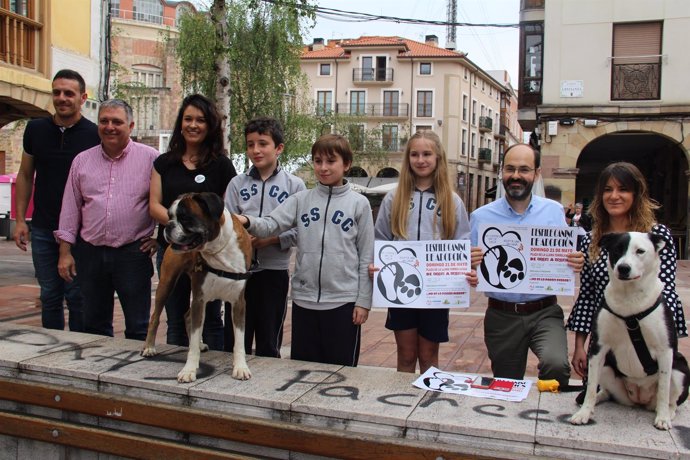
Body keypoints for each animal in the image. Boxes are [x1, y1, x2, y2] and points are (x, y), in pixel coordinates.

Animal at [140, 192, 253, 382]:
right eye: (170, 216)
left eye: (185, 217)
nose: (168, 226)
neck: (218, 249)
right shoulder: (199, 299)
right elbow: (192, 339)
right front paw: (189, 370)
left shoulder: (239, 303)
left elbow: (239, 340)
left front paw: (240, 367)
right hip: (167, 283)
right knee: (155, 316)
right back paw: (149, 347)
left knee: (187, 315)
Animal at [568, 232, 688, 430]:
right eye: (617, 249)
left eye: (640, 251)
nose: (623, 268)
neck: (629, 299)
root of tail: (639, 400)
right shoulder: (598, 347)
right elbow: (591, 385)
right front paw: (584, 412)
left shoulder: (665, 351)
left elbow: (664, 389)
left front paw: (663, 418)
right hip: (608, 368)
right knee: (606, 391)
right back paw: (595, 399)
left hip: (680, 371)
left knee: (672, 399)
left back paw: (667, 413)